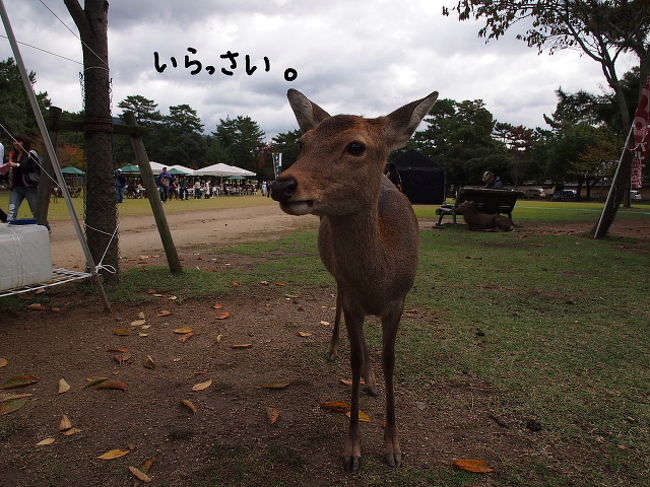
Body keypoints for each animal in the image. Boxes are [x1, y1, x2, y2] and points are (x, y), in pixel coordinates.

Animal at [268, 87, 436, 472]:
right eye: (302, 142)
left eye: (356, 146)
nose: (281, 184)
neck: (378, 280)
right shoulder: (353, 298)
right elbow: (355, 358)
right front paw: (353, 451)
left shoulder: (399, 300)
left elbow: (390, 359)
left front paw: (393, 448)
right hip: (338, 279)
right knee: (341, 316)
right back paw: (334, 350)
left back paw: (372, 382)